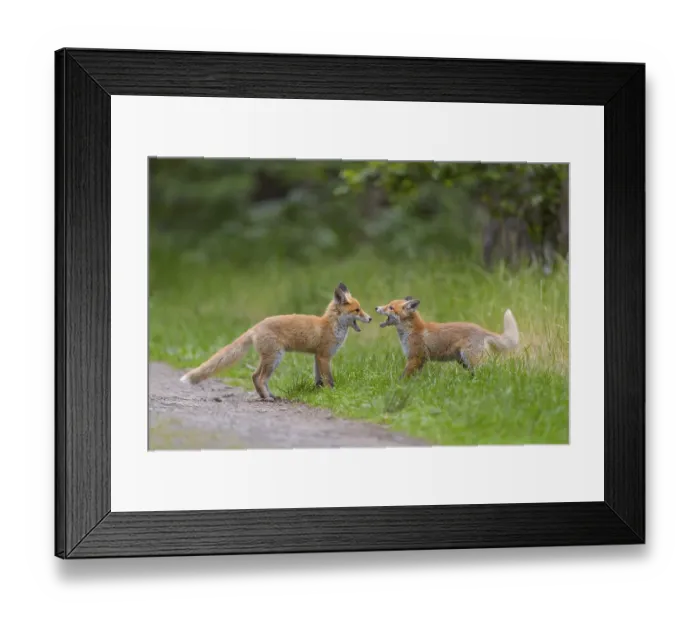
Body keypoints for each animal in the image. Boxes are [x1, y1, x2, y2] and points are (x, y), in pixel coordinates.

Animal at [180, 283, 373, 401]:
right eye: (357, 310)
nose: (370, 318)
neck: (330, 325)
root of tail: (256, 326)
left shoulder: (317, 357)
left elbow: (319, 379)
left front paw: (319, 393)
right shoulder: (325, 356)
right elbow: (329, 380)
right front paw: (332, 394)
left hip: (270, 358)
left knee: (256, 377)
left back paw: (268, 395)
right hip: (275, 358)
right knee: (258, 377)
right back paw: (267, 397)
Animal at [375, 297, 519, 378]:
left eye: (390, 307)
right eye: (388, 305)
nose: (376, 307)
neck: (413, 331)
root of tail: (482, 329)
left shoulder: (416, 357)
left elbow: (403, 377)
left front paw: (398, 385)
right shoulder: (420, 360)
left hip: (471, 360)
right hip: (464, 362)